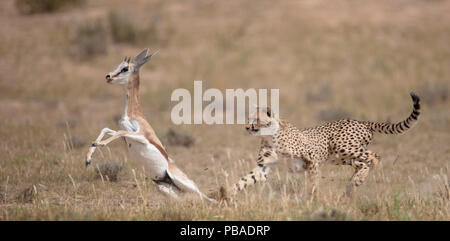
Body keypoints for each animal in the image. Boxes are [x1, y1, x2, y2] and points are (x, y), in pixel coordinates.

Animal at [216, 92, 420, 200]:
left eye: (256, 120)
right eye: (248, 119)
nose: (246, 127)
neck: (270, 136)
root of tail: (360, 120)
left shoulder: (312, 158)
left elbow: (313, 181)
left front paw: (312, 199)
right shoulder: (264, 167)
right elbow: (245, 180)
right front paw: (226, 193)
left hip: (341, 145)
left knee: (374, 157)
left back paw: (358, 181)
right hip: (340, 156)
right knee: (363, 162)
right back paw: (351, 186)